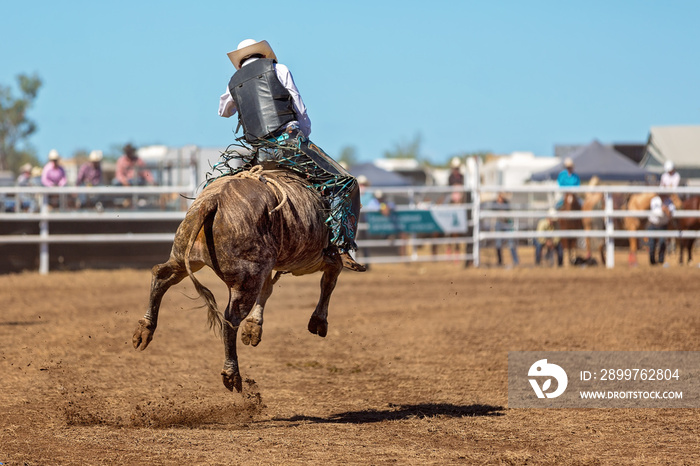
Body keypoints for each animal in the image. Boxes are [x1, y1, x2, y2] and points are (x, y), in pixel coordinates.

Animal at [132, 166, 348, 392]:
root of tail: (213, 201)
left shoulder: (270, 266)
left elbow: (268, 289)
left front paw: (254, 327)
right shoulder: (312, 259)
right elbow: (331, 277)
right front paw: (318, 321)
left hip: (183, 255)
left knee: (162, 275)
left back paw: (144, 329)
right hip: (247, 279)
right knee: (231, 318)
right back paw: (231, 372)